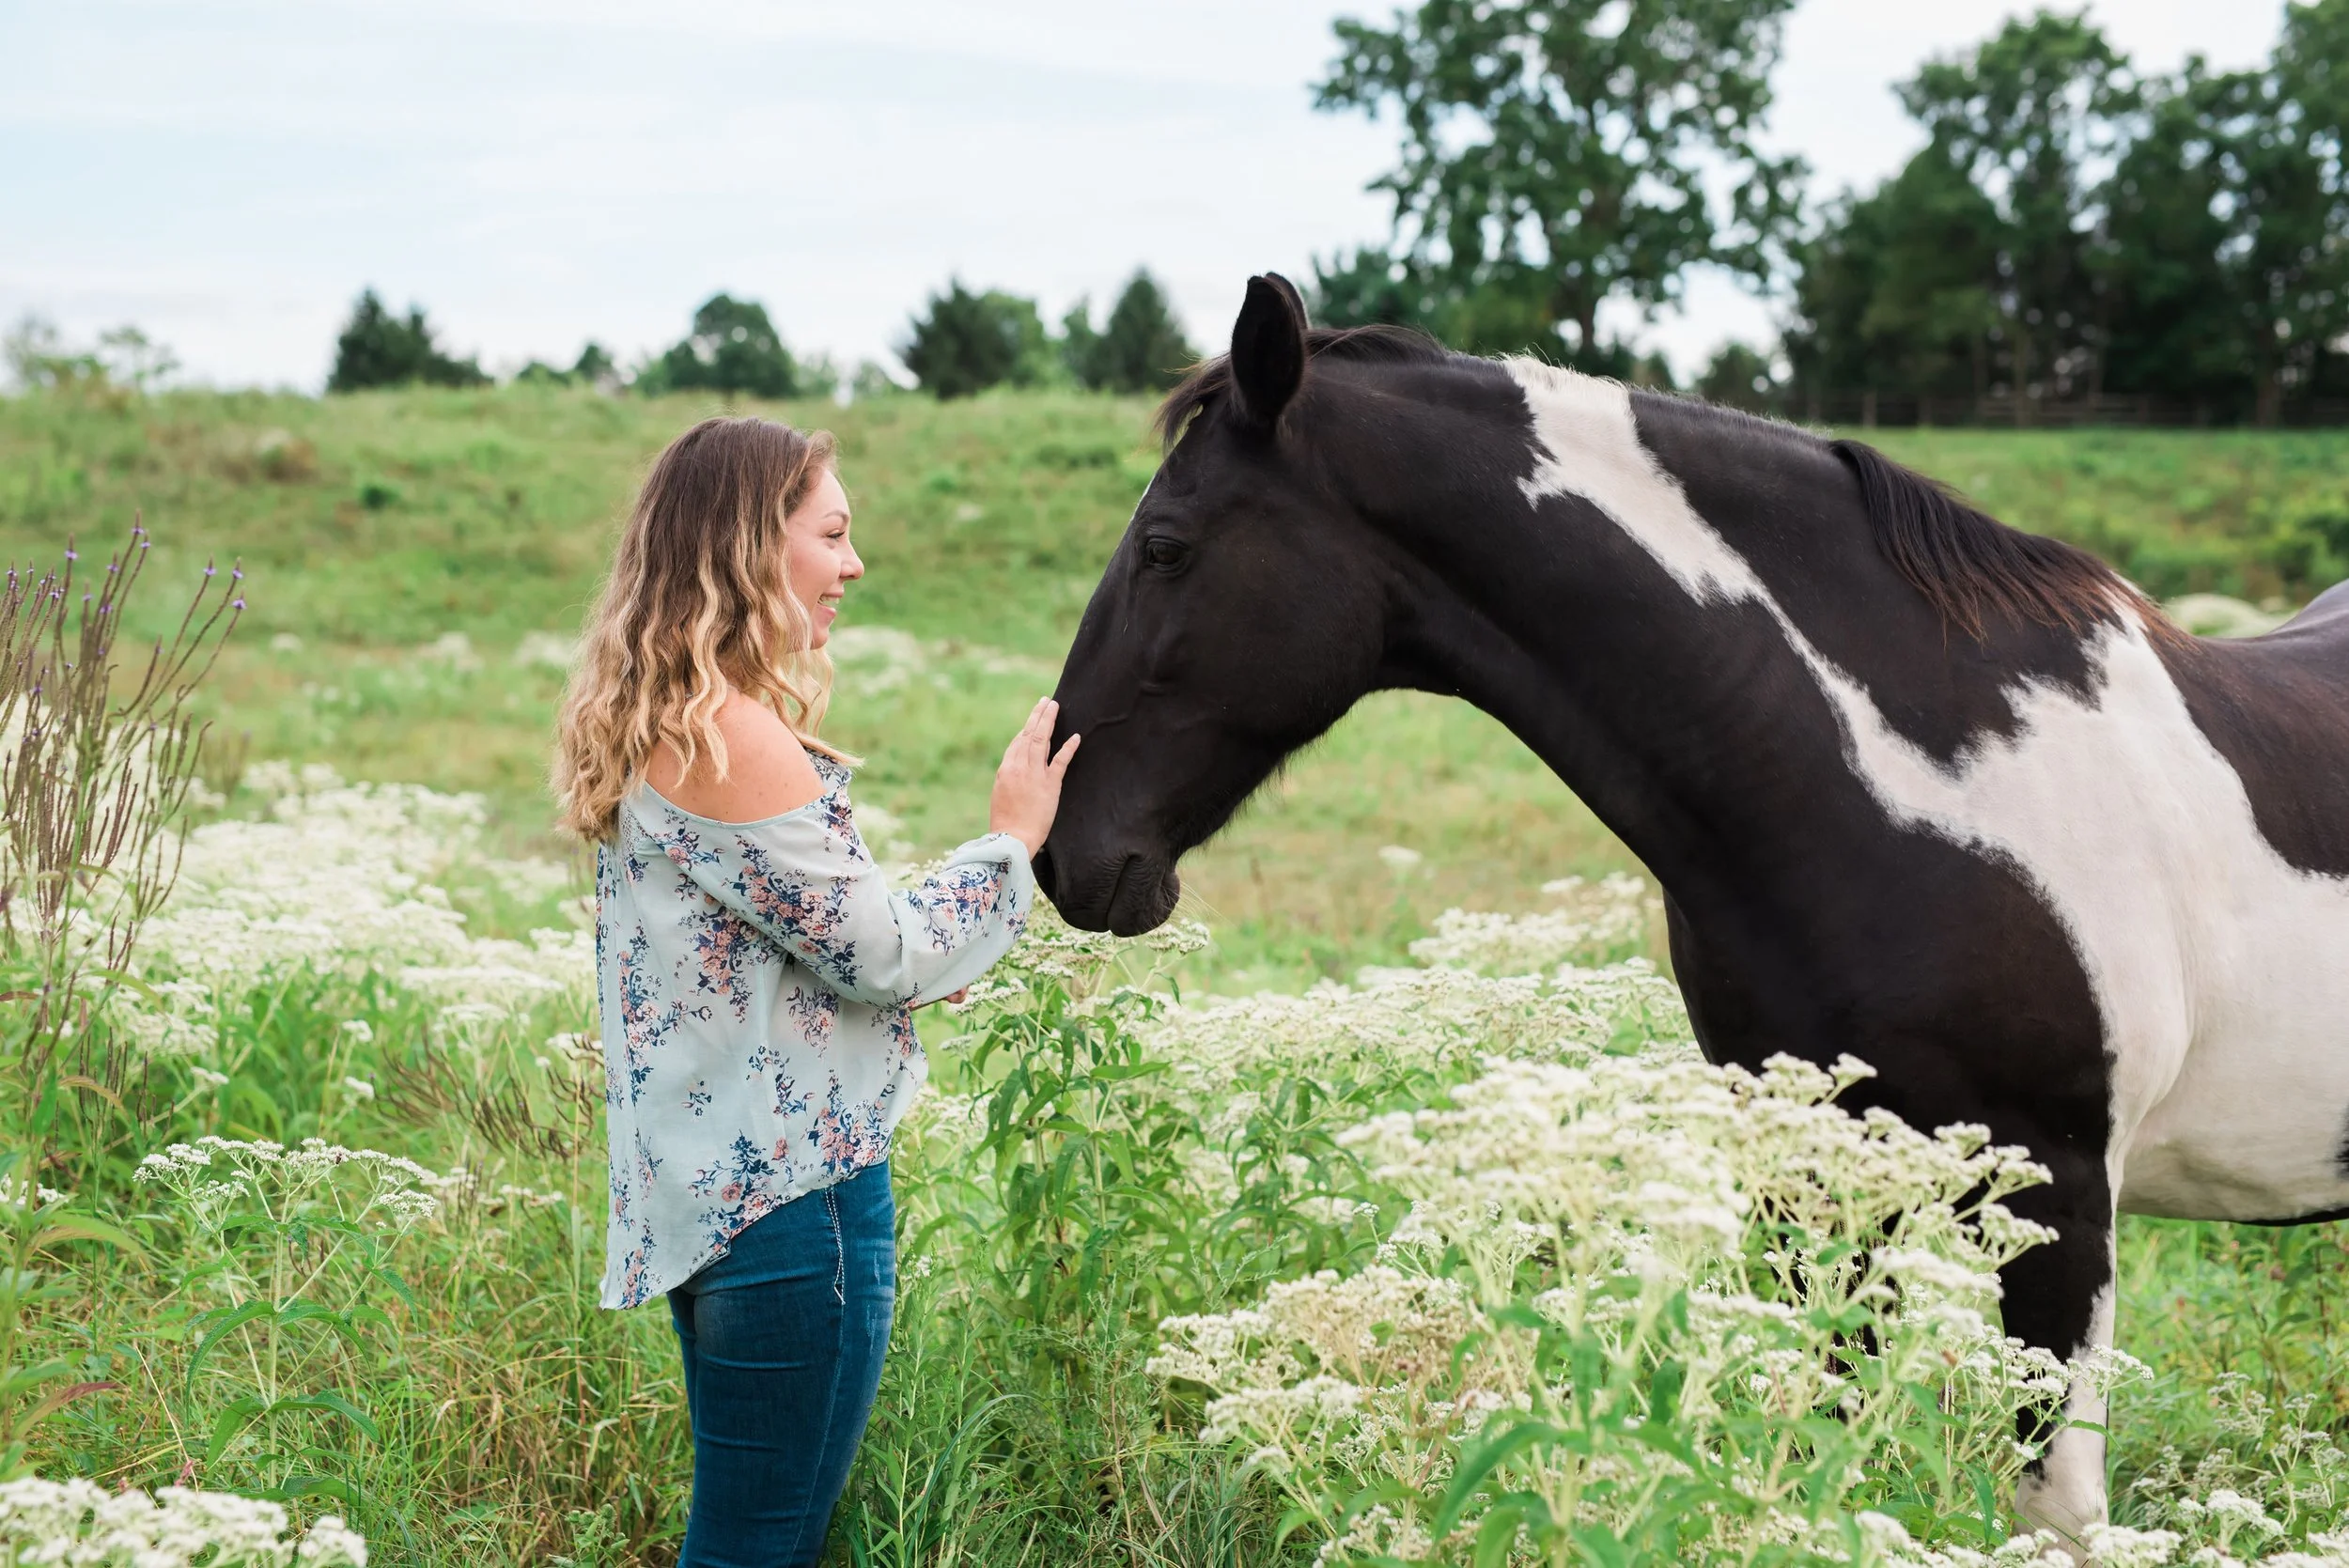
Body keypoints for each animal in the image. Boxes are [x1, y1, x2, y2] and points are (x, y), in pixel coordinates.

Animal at [1031, 273, 2349, 1546]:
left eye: (1165, 547)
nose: (1061, 852)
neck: (1927, 790)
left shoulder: (2061, 1196)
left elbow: (2058, 1513)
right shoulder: (1811, 1183)